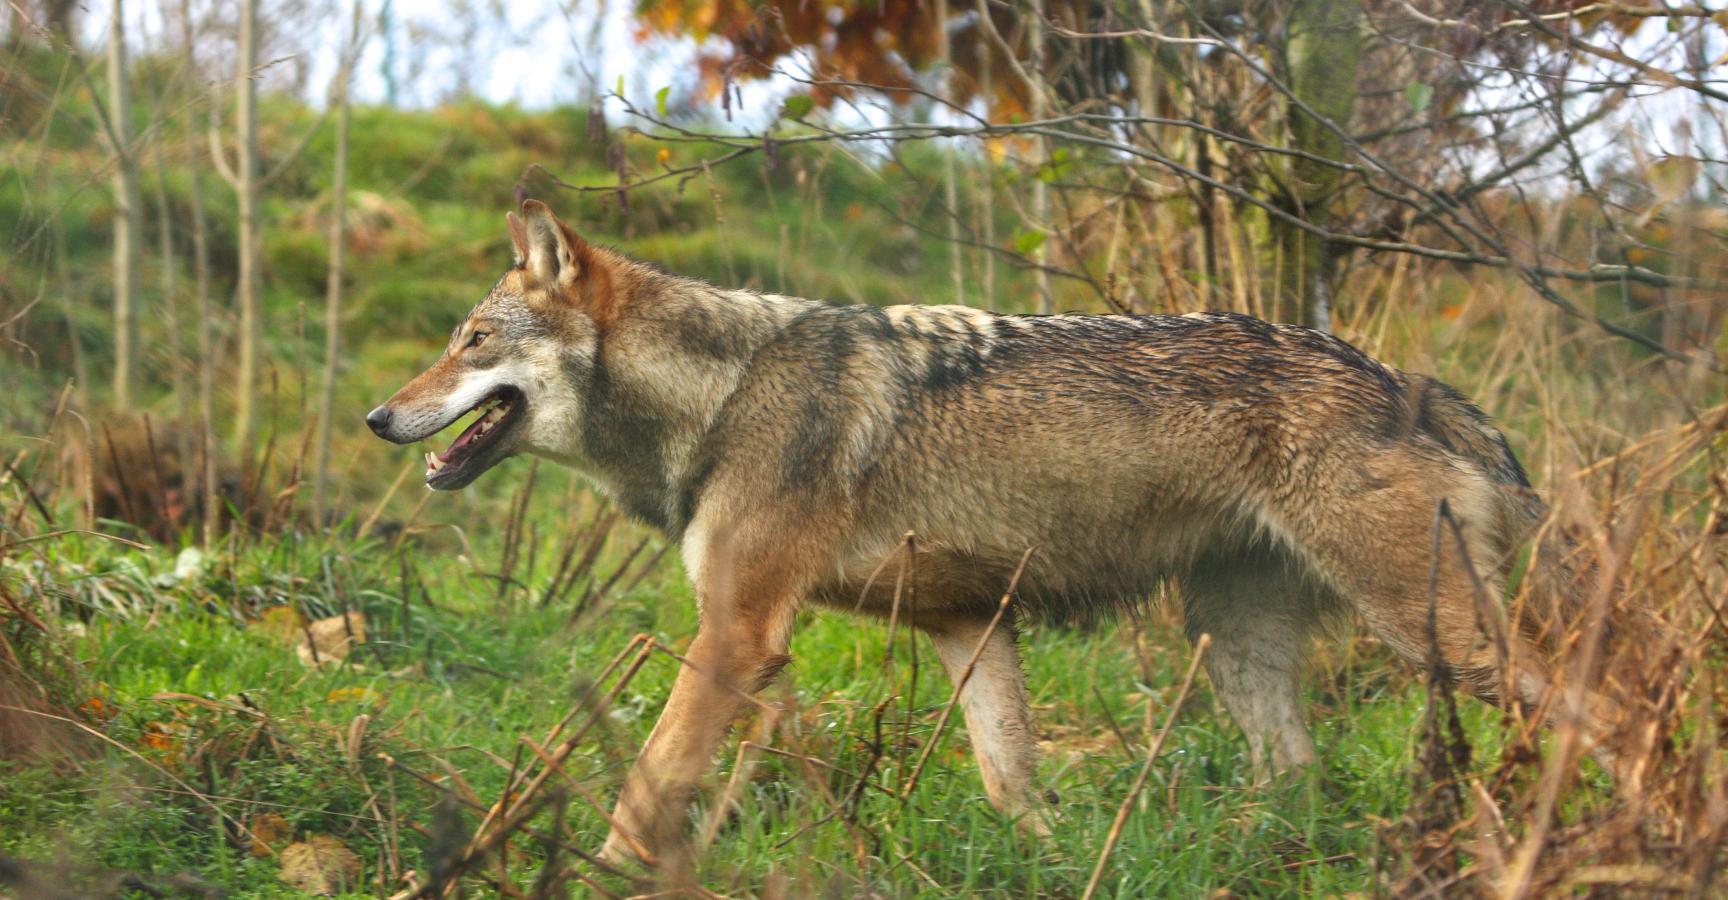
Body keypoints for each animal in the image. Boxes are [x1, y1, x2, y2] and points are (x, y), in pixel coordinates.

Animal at [368, 200, 1622, 866]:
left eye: (471, 341)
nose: (381, 417)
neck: (723, 394)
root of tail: (1417, 385)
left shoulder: (738, 637)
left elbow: (648, 784)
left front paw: (607, 874)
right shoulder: (970, 623)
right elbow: (1012, 780)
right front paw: (1050, 860)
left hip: (1440, 637)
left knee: (1591, 709)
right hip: (1239, 650)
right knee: (1297, 776)